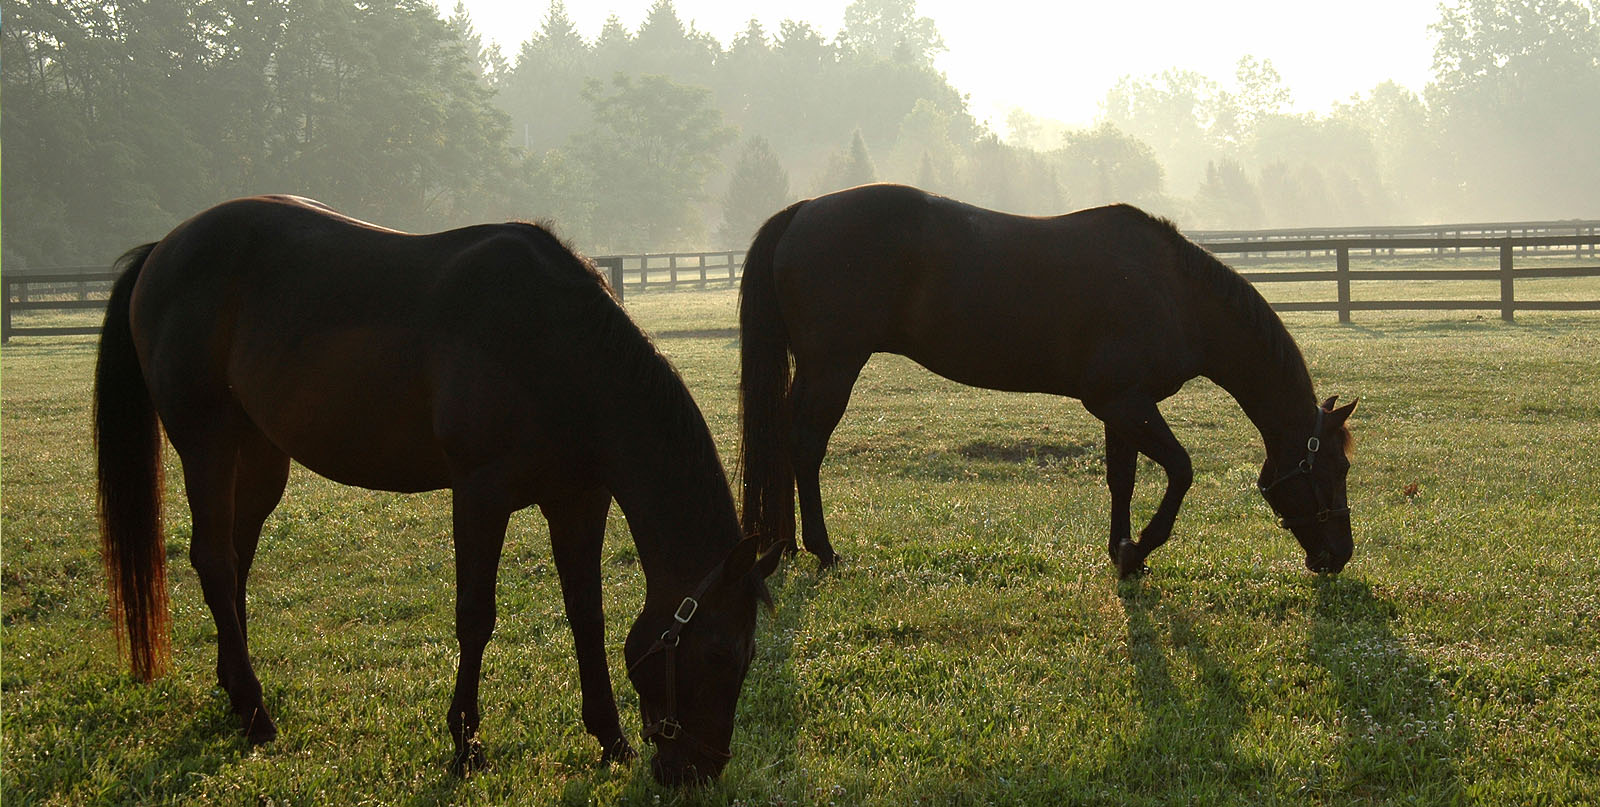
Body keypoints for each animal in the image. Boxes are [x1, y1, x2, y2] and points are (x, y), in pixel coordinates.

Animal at [94, 195, 782, 785]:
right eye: (719, 655)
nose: (696, 771)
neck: (555, 342)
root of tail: (164, 250)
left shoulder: (578, 499)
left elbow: (586, 613)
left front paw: (610, 740)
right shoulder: (480, 493)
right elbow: (476, 616)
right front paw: (466, 744)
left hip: (259, 456)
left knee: (234, 561)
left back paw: (235, 695)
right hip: (207, 444)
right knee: (213, 559)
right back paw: (258, 715)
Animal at [738, 184, 1357, 578]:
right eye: (1334, 468)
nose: (1340, 555)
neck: (1175, 295)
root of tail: (804, 211)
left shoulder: (1122, 407)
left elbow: (1121, 479)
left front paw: (1120, 551)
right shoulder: (1126, 405)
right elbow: (1180, 471)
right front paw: (1140, 550)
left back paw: (787, 545)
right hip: (832, 368)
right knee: (804, 446)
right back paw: (822, 550)